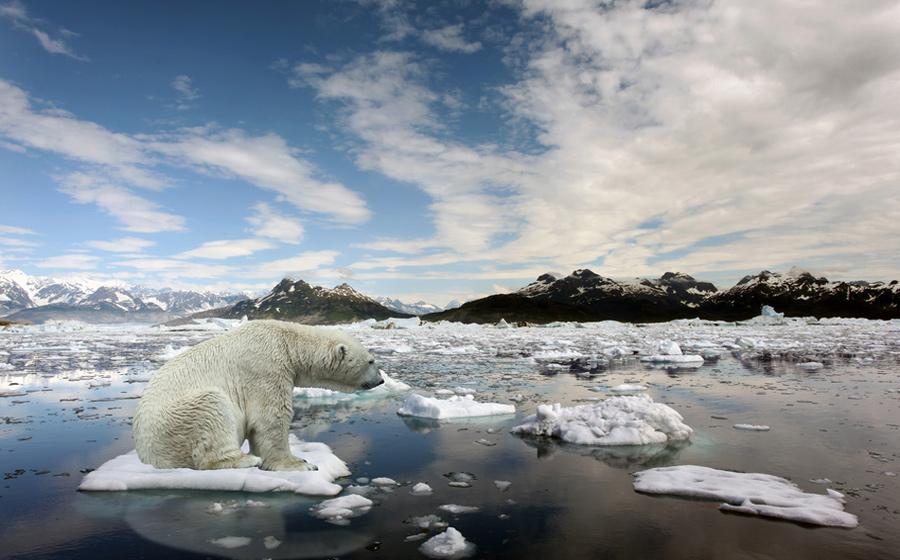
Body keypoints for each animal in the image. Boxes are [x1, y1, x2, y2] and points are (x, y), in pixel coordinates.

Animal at [134, 320, 384, 472]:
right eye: (371, 361)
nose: (381, 380)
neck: (287, 342)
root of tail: (146, 457)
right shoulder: (266, 368)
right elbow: (270, 418)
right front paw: (301, 463)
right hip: (176, 422)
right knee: (211, 408)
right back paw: (245, 459)